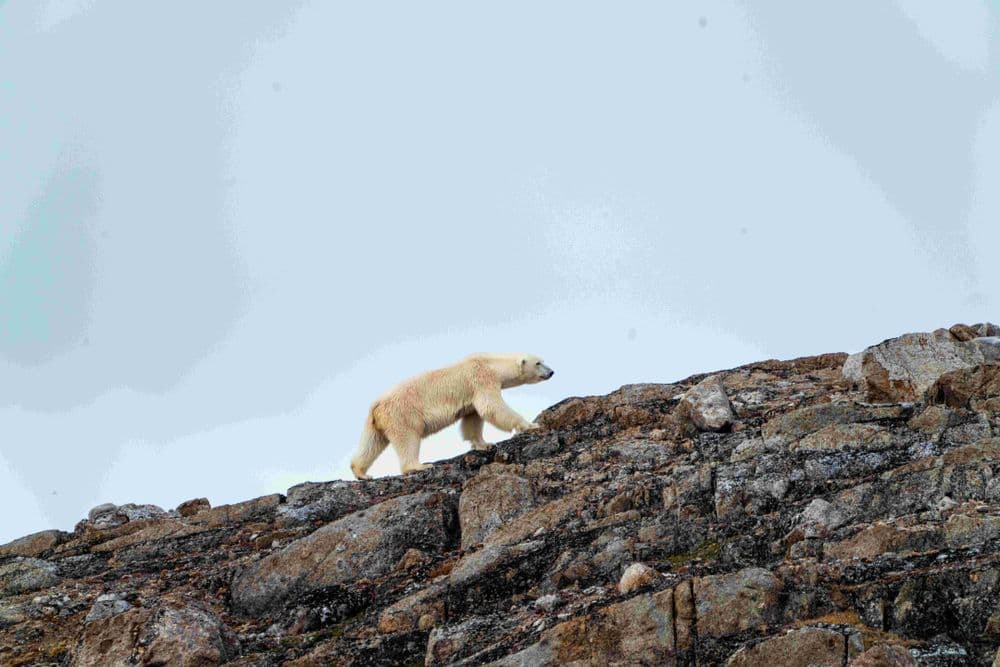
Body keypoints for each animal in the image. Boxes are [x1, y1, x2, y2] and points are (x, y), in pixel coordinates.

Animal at [350, 353, 554, 480]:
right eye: (538, 362)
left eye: (544, 360)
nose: (552, 372)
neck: (491, 363)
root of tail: (376, 405)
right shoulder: (481, 379)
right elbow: (492, 407)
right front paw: (531, 425)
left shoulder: (472, 394)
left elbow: (473, 418)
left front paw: (484, 444)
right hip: (402, 414)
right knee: (407, 438)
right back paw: (420, 466)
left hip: (378, 421)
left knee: (372, 443)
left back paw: (361, 472)